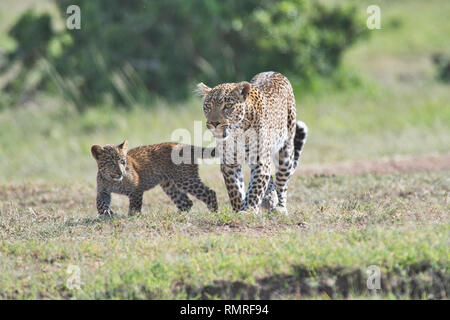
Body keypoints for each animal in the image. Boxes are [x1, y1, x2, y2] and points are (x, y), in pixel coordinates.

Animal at [198, 71, 308, 214]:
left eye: (227, 106)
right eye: (208, 106)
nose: (213, 123)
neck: (237, 132)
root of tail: (273, 72)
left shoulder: (261, 160)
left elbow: (256, 188)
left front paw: (248, 210)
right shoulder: (229, 163)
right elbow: (235, 190)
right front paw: (239, 209)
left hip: (286, 151)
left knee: (282, 181)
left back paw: (280, 207)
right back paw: (269, 198)